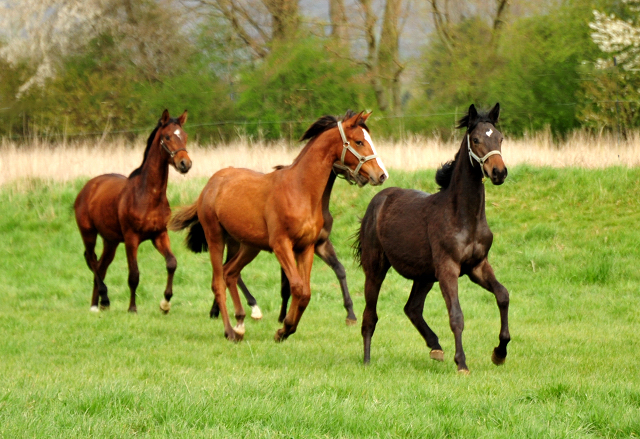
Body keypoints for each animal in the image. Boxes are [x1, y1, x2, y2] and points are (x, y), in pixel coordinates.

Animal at [74, 111, 190, 314]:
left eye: (184, 136)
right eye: (167, 137)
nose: (185, 164)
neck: (147, 195)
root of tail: (87, 188)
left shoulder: (159, 234)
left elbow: (171, 263)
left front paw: (165, 303)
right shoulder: (131, 238)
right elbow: (134, 274)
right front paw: (132, 308)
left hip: (110, 241)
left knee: (101, 265)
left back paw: (97, 304)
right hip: (88, 234)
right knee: (93, 261)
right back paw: (103, 299)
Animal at [211, 161, 368, 324]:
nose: (364, 178)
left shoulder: (321, 244)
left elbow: (340, 270)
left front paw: (350, 313)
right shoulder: (289, 247)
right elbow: (286, 285)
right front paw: (283, 316)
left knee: (226, 270)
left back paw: (217, 310)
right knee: (227, 270)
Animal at [356, 104, 510, 374]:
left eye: (500, 138)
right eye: (476, 139)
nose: (499, 172)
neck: (463, 216)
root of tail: (378, 200)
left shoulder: (477, 266)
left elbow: (503, 295)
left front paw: (499, 352)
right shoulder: (448, 268)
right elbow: (456, 315)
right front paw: (462, 363)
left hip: (425, 274)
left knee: (412, 308)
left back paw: (435, 347)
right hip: (376, 269)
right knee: (370, 315)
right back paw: (366, 360)